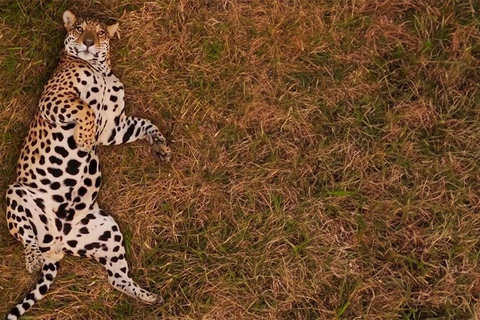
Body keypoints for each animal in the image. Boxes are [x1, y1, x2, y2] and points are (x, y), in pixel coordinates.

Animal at [4, 10, 172, 320]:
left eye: (101, 33)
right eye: (80, 29)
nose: (89, 43)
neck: (100, 69)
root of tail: (58, 238)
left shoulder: (113, 128)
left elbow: (144, 123)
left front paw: (161, 147)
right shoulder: (56, 98)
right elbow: (84, 108)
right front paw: (82, 139)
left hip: (107, 231)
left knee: (115, 278)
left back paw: (149, 297)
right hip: (16, 194)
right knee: (27, 238)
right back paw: (34, 258)